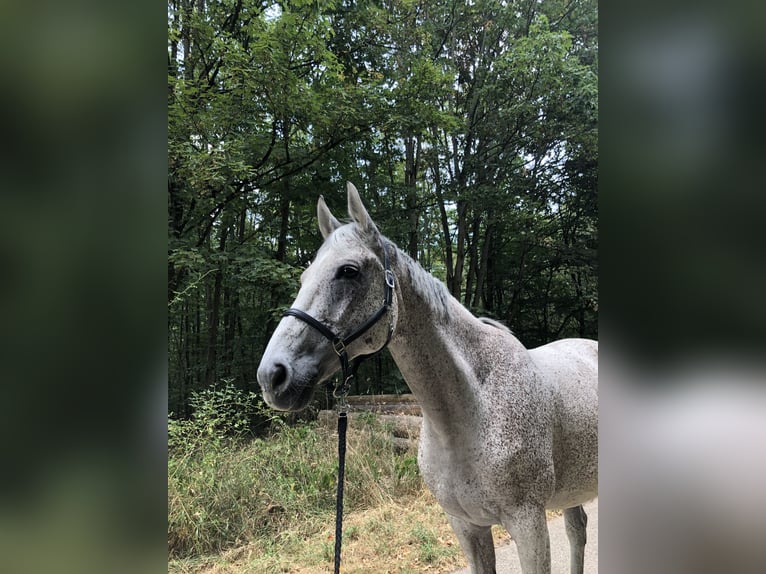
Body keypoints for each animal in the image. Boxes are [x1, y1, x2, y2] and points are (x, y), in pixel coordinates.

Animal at [258, 183, 600, 574]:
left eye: (349, 271)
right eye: (304, 278)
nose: (273, 375)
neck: (475, 407)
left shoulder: (528, 524)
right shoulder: (466, 526)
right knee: (577, 530)